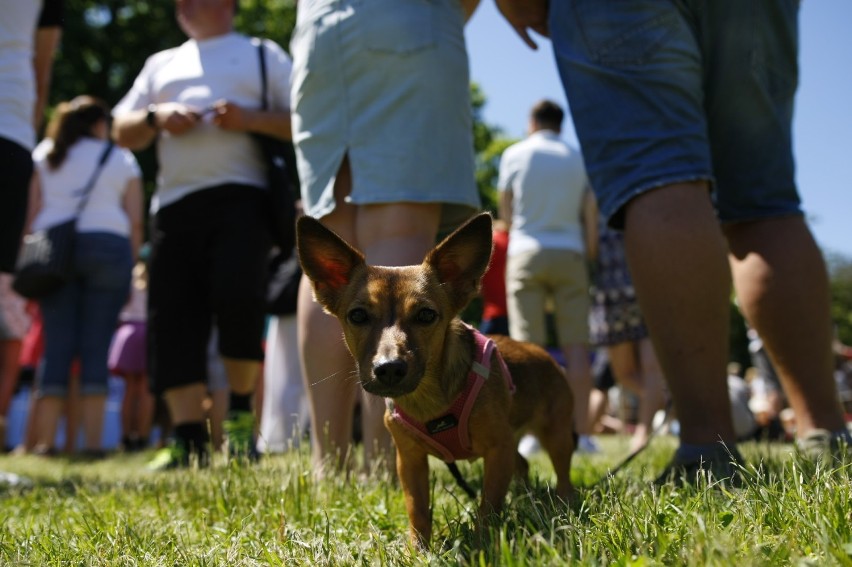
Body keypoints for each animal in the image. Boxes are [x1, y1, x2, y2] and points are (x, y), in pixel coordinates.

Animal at [296, 212, 576, 544]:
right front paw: (418, 548)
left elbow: (488, 505)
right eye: (358, 316)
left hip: (556, 434)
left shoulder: (498, 448)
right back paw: (525, 498)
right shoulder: (410, 461)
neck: (428, 400)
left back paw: (562, 502)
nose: (389, 367)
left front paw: (482, 543)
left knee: (561, 472)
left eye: (426, 315)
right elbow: (417, 509)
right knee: (521, 463)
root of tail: (544, 354)